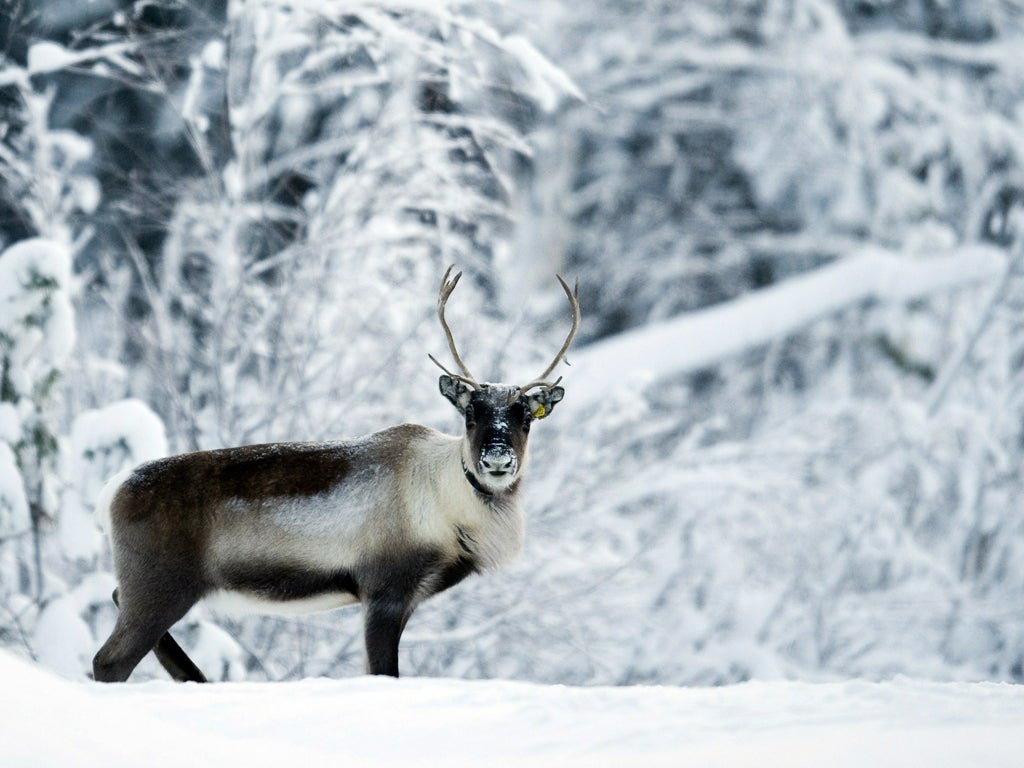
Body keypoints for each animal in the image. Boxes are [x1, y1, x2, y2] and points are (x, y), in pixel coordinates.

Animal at [92, 266, 580, 683]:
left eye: (525, 416)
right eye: (471, 413)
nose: (497, 460)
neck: (448, 508)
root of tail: (112, 490)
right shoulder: (384, 590)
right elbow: (383, 672)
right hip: (160, 585)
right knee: (109, 659)